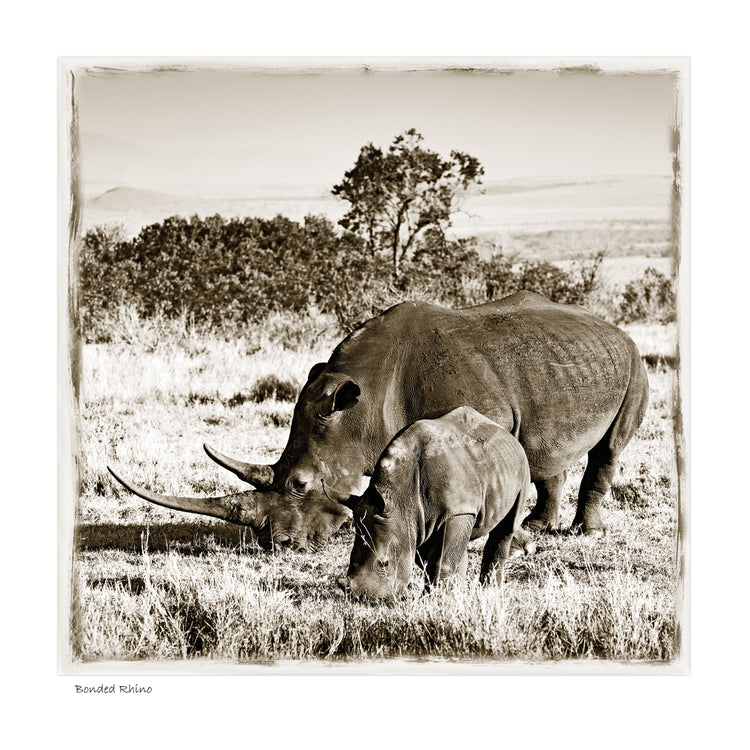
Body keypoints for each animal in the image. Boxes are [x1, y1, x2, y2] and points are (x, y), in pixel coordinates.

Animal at [109, 291, 649, 552]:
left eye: (301, 484)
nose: (277, 545)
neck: (362, 403)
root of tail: (612, 327)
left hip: (634, 361)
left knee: (609, 447)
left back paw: (582, 534)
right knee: (544, 452)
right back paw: (540, 525)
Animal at [341, 406, 532, 599]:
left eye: (384, 564)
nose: (361, 597)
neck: (400, 498)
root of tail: (506, 434)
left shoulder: (456, 511)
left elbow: (441, 560)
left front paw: (437, 598)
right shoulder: (416, 521)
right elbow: (428, 560)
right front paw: (440, 595)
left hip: (522, 464)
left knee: (507, 526)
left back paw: (490, 591)